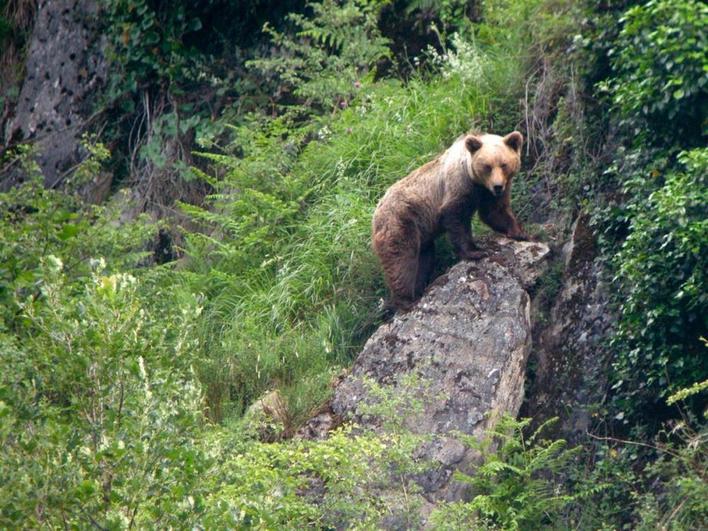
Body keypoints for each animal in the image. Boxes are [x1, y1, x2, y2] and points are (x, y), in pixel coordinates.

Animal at [374, 130, 528, 310]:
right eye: (487, 166)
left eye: (504, 164)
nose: (497, 186)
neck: (476, 181)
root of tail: (376, 211)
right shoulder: (458, 186)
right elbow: (456, 219)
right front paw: (477, 251)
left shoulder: (487, 193)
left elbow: (494, 211)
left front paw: (520, 232)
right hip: (401, 221)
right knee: (401, 260)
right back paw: (407, 300)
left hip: (421, 231)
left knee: (424, 258)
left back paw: (419, 289)